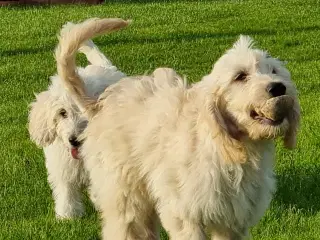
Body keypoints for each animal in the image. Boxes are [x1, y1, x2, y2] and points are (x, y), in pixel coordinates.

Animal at [26, 18, 128, 219]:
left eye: (85, 113)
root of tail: (106, 67)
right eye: (62, 113)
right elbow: (66, 190)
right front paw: (68, 215)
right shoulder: (63, 166)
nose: (74, 140)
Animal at [59, 18, 300, 238]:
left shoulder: (233, 220)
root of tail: (99, 104)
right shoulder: (185, 213)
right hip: (126, 194)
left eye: (274, 70)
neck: (228, 146)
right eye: (240, 76)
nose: (278, 88)